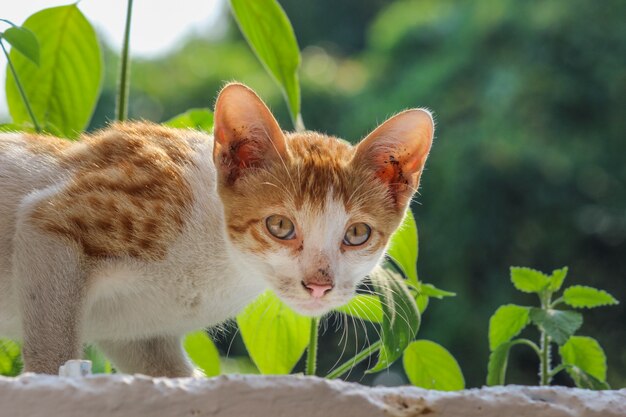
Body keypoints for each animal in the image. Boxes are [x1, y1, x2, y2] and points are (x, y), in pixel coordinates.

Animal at [0, 83, 432, 376]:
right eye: (279, 225)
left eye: (357, 234)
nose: (318, 286)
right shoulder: (53, 220)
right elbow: (55, 359)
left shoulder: (133, 331)